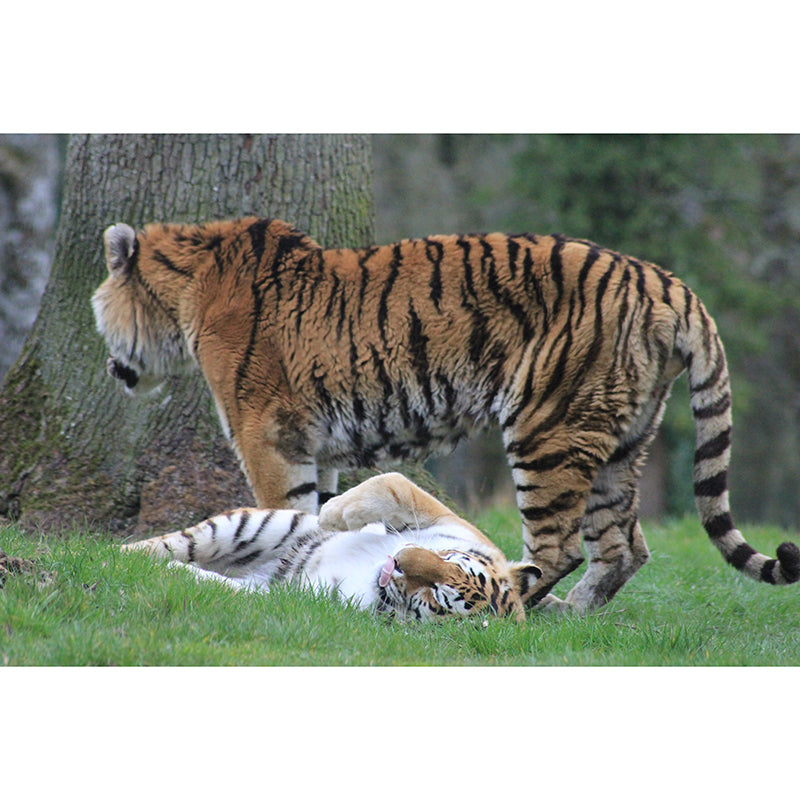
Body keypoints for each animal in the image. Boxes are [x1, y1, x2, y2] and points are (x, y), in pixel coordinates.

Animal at [121, 472, 542, 622]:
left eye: (439, 595)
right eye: (450, 559)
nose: (400, 559)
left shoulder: (300, 600)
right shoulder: (452, 522)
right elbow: (395, 483)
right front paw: (335, 514)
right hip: (256, 524)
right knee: (164, 545)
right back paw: (113, 558)